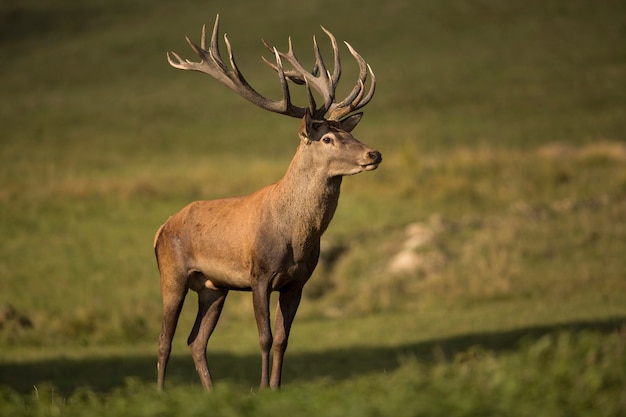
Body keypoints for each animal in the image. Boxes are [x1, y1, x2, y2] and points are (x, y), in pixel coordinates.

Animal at [156, 15, 380, 390]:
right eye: (328, 138)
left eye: (348, 131)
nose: (373, 154)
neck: (296, 237)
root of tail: (161, 228)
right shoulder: (258, 275)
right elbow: (263, 337)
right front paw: (261, 389)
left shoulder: (297, 282)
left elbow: (282, 339)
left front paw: (276, 387)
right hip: (171, 274)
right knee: (164, 340)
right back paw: (161, 394)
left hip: (214, 287)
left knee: (196, 340)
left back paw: (210, 392)